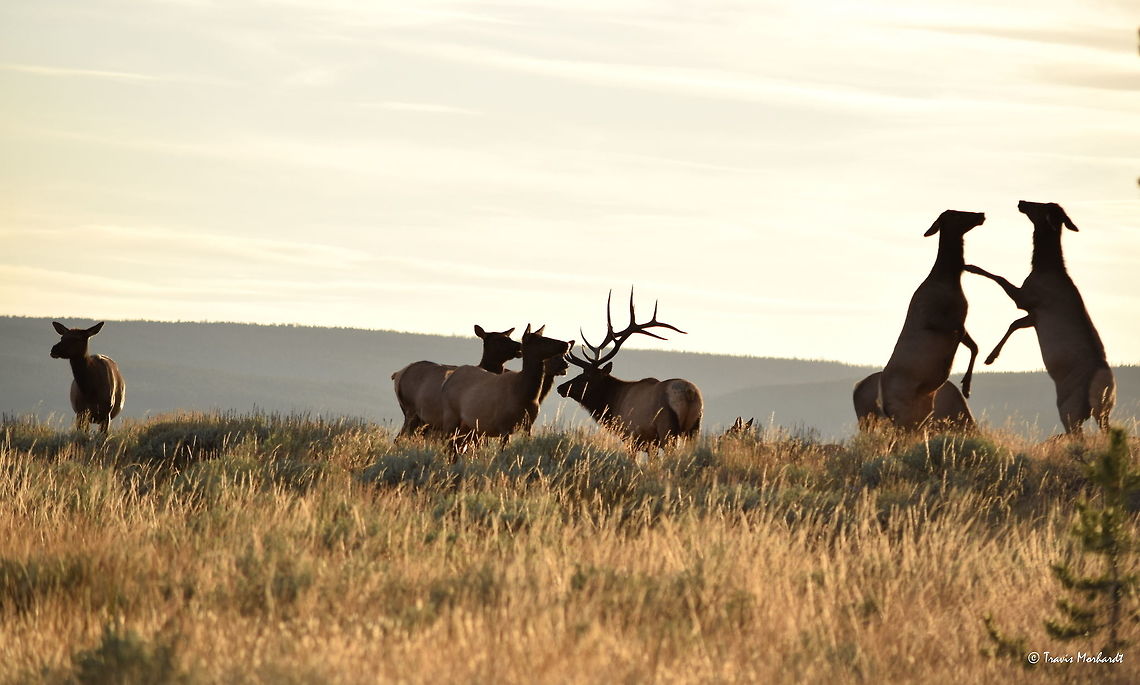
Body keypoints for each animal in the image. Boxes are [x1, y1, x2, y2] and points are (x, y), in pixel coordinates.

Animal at [391, 325, 522, 437]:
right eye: (498, 340)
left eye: (508, 337)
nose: (519, 345)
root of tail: (397, 374)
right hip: (411, 410)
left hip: (421, 420)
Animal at [440, 325, 573, 449]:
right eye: (541, 340)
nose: (566, 344)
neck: (527, 395)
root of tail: (447, 381)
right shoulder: (503, 425)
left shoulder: (528, 425)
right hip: (451, 415)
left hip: (468, 425)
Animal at [557, 290, 703, 448]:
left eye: (587, 376)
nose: (560, 387)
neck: (614, 403)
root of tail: (689, 393)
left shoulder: (631, 435)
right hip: (694, 428)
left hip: (666, 426)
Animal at [878, 210, 984, 430]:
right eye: (957, 214)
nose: (980, 214)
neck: (951, 281)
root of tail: (884, 406)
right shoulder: (933, 319)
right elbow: (962, 337)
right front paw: (949, 366)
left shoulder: (961, 320)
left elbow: (975, 346)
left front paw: (966, 386)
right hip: (904, 414)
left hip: (920, 411)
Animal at [964, 200, 1115, 434]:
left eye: (1039, 205)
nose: (1021, 202)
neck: (1042, 268)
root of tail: (1105, 383)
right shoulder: (1034, 315)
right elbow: (1014, 323)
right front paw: (991, 357)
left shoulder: (1028, 298)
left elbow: (1000, 278)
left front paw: (970, 266)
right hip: (1103, 408)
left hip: (1069, 406)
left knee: (1077, 432)